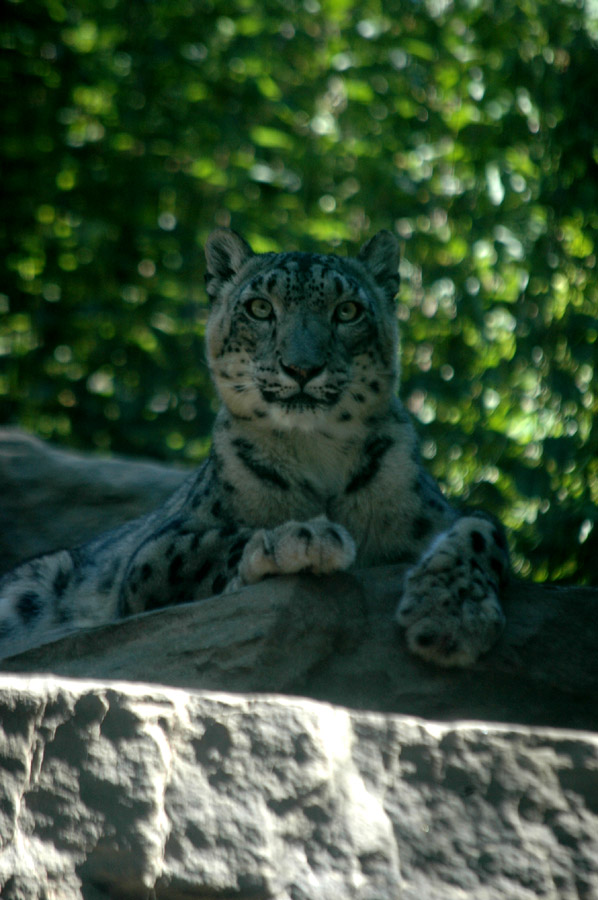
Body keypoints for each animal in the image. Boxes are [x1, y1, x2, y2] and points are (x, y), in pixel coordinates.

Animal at [0, 230, 510, 668]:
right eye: (260, 307)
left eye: (347, 311)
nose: (301, 368)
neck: (317, 451)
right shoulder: (155, 552)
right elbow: (215, 541)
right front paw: (300, 537)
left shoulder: (437, 513)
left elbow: (482, 530)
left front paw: (449, 615)